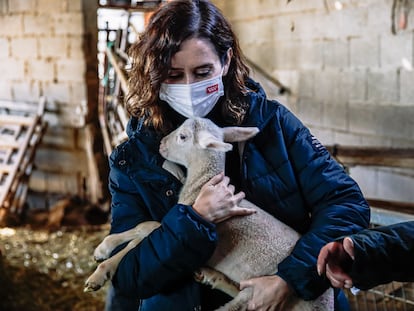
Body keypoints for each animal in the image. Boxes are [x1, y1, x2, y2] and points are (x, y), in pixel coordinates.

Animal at [84, 117, 334, 311]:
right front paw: (103, 249)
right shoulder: (177, 226)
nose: (161, 144)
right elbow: (142, 229)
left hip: (259, 296)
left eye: (183, 137)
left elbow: (143, 234)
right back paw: (211, 276)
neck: (201, 185)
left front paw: (99, 273)